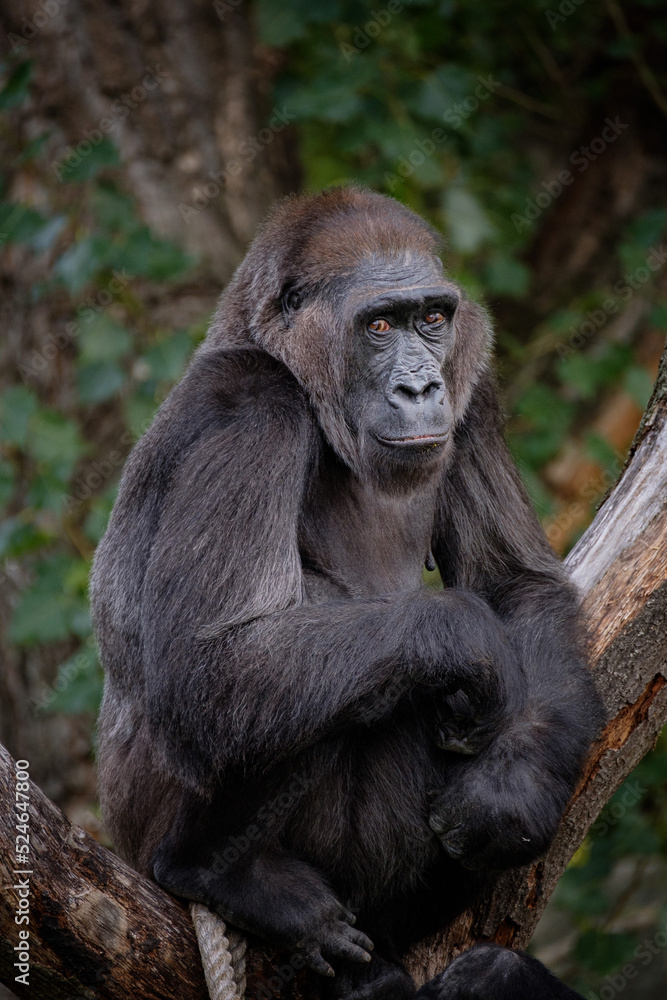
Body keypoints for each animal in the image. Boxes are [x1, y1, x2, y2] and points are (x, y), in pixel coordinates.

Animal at [92, 184, 600, 996]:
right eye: (379, 324)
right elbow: (213, 663)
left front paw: (510, 794)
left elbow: (515, 583)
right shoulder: (252, 403)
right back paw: (218, 872)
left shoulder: (475, 378)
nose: (420, 385)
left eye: (432, 318)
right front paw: (463, 636)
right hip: (137, 836)